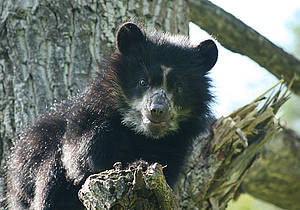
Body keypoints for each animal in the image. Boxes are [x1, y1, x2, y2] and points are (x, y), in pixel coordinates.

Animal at [5, 22, 218, 209]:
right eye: (143, 82)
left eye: (179, 87)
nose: (157, 109)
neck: (141, 133)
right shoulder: (86, 113)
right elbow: (78, 157)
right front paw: (119, 147)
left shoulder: (176, 144)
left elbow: (167, 167)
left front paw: (141, 163)